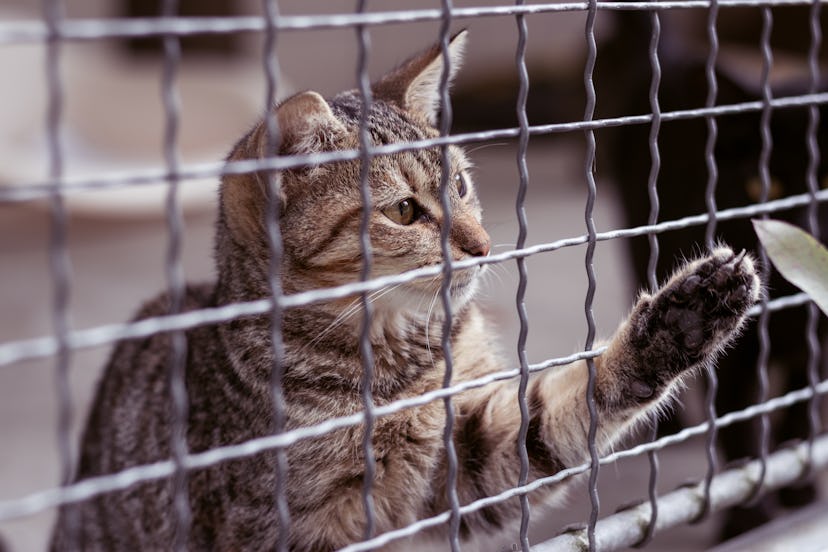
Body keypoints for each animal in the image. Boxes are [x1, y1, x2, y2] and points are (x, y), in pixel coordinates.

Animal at [51, 32, 760, 548]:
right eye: (403, 211)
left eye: (463, 185)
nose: (483, 245)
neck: (399, 364)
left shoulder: (472, 458)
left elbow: (567, 409)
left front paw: (682, 321)